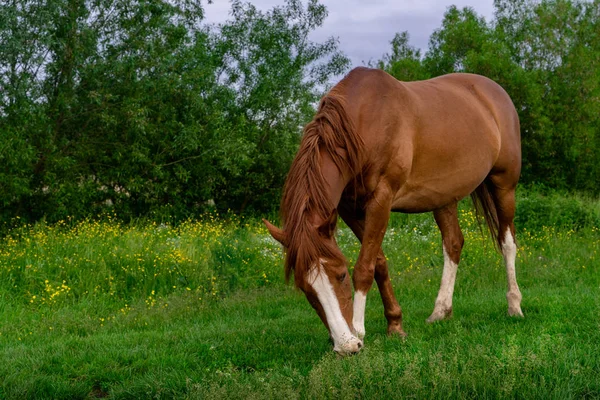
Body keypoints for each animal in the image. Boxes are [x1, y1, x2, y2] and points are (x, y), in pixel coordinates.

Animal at [264, 67, 524, 354]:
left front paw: (359, 330)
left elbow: (364, 267)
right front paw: (395, 324)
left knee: (507, 241)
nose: (345, 347)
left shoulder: (381, 199)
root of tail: (495, 92)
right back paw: (441, 311)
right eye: (306, 288)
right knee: (453, 243)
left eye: (341, 275)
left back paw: (514, 305)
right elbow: (379, 262)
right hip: (444, 197)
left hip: (504, 184)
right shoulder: (350, 208)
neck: (363, 124)